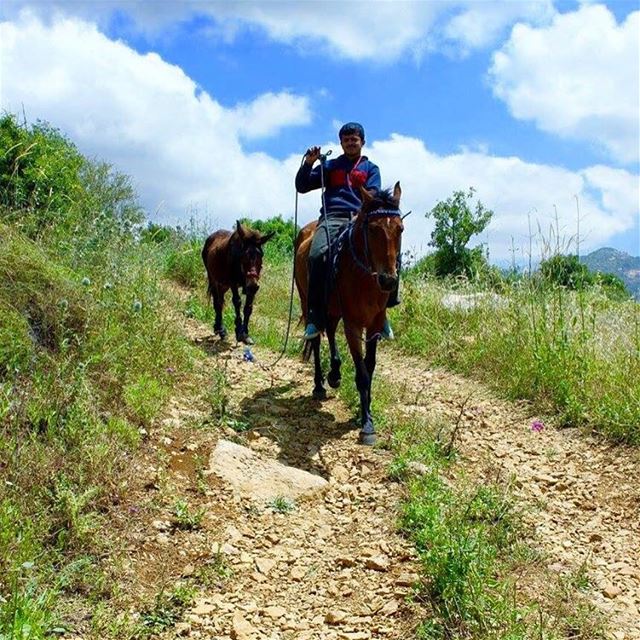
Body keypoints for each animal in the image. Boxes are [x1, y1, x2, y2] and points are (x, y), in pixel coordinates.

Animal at [296, 184, 404, 444]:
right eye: (372, 229)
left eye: (400, 229)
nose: (388, 280)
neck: (364, 277)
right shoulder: (353, 324)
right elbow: (362, 373)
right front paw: (367, 427)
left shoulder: (374, 324)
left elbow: (370, 367)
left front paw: (366, 411)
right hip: (309, 303)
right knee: (317, 338)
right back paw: (319, 385)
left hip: (333, 309)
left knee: (330, 330)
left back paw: (334, 373)